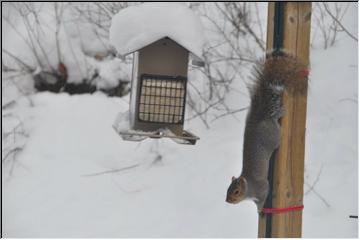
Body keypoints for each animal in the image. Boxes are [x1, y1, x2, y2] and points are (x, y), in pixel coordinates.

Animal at [225, 53, 306, 213]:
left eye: (236, 191)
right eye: (227, 189)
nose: (227, 201)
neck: (249, 188)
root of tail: (260, 117)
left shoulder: (262, 188)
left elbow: (263, 197)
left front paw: (260, 210)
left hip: (273, 136)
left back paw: (281, 113)